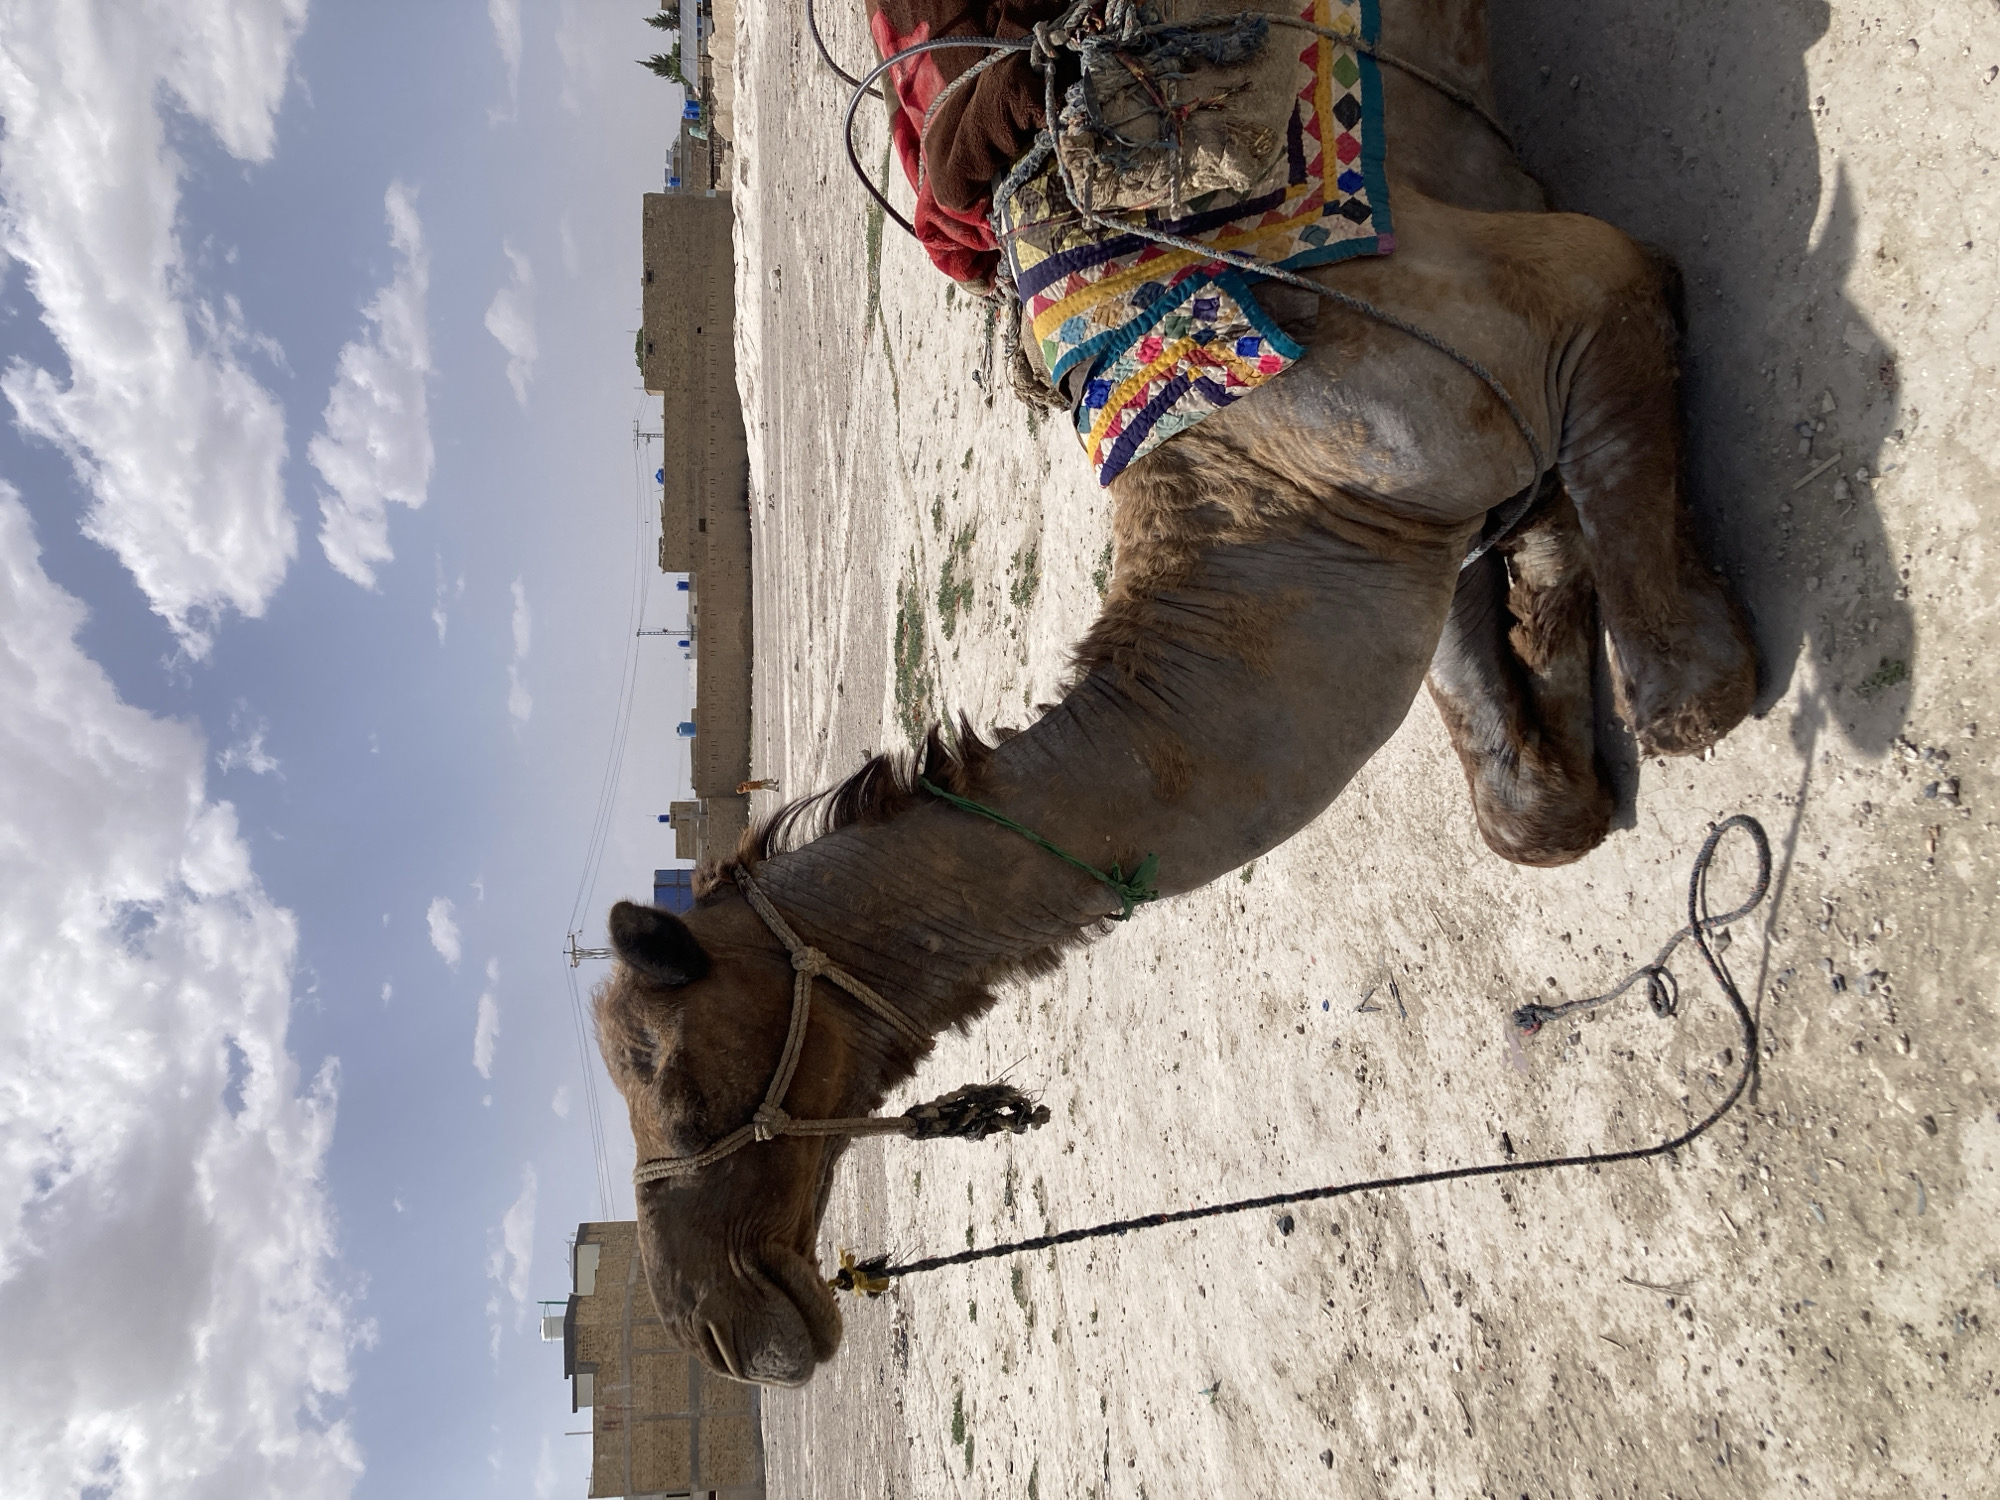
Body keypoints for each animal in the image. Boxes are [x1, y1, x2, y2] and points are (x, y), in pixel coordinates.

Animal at [594, 0, 1757, 1386]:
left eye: (668, 1078)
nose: (716, 1327)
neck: (1266, 491)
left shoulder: (1577, 298)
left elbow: (1689, 683)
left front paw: (1660, 665)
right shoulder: (1407, 545)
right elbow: (1524, 804)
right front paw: (1556, 681)